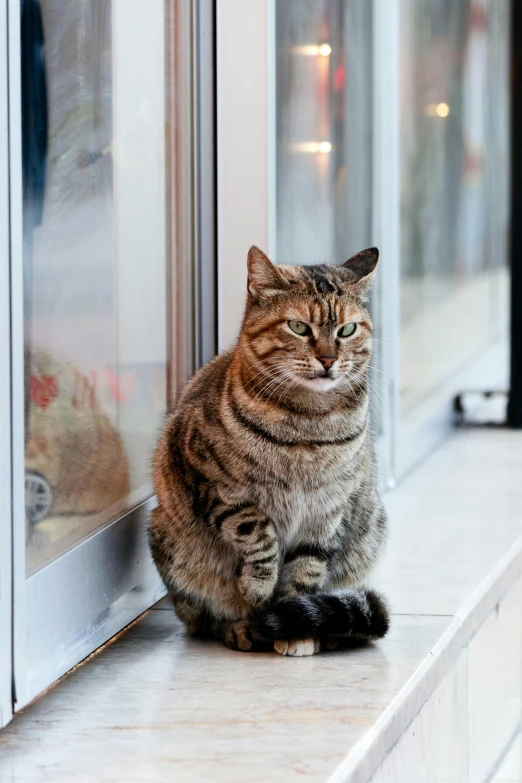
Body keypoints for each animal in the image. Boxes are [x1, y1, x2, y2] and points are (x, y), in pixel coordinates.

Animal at [149, 245, 386, 656]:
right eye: (299, 327)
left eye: (347, 329)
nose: (328, 359)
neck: (309, 423)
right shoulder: (212, 482)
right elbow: (258, 531)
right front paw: (259, 590)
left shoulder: (328, 510)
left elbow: (305, 571)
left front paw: (294, 626)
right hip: (169, 540)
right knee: (202, 620)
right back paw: (241, 627)